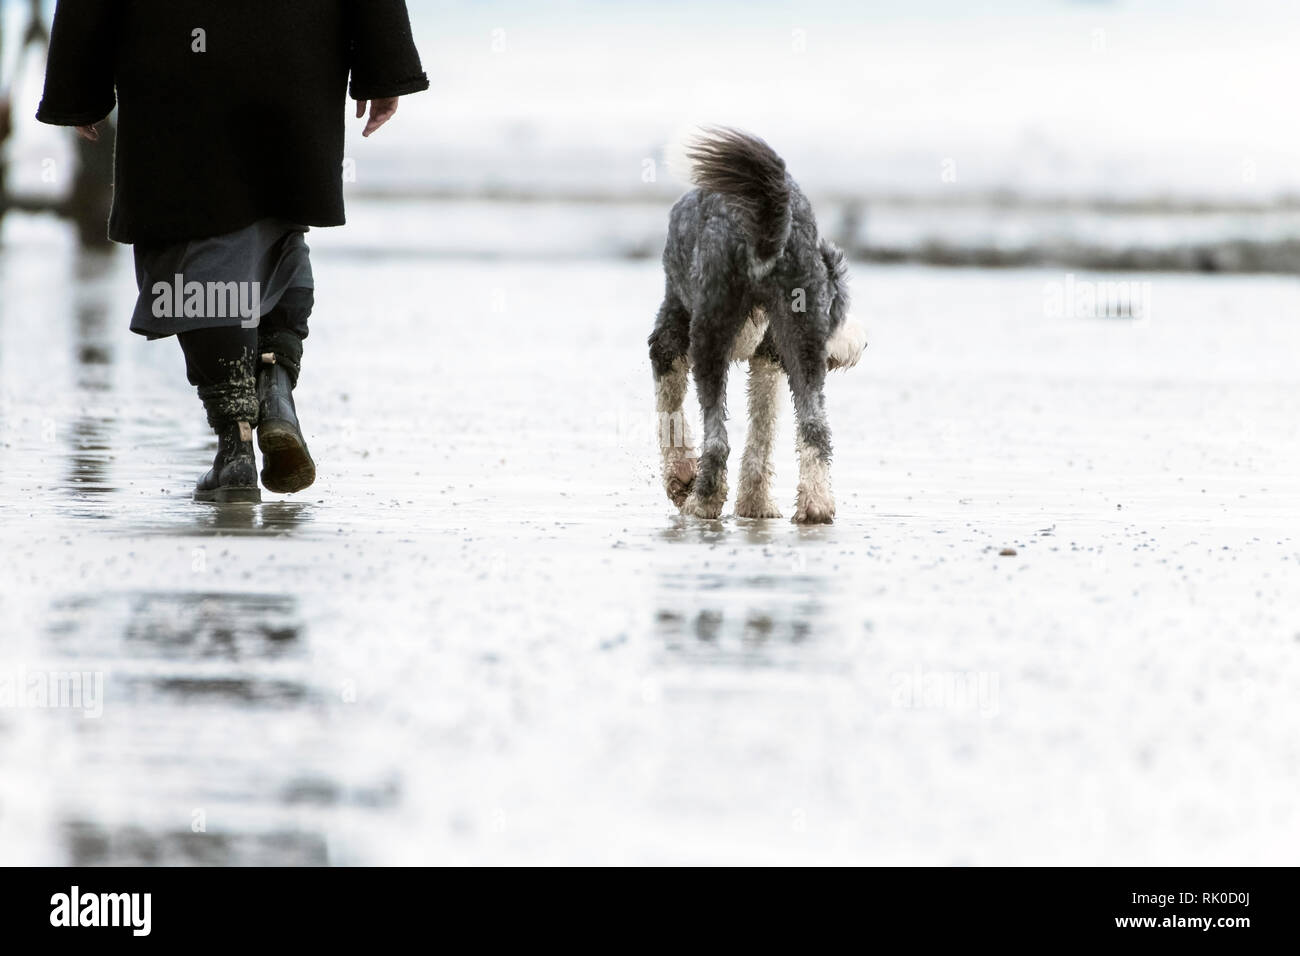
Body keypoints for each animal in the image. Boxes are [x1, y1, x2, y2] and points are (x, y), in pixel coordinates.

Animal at [647, 127, 863, 522]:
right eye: (839, 300)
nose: (861, 343)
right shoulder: (771, 355)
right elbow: (763, 428)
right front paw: (757, 504)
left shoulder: (668, 339)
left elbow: (669, 408)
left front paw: (680, 478)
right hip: (802, 334)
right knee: (814, 427)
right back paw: (816, 505)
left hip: (708, 335)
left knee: (717, 439)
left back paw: (701, 502)